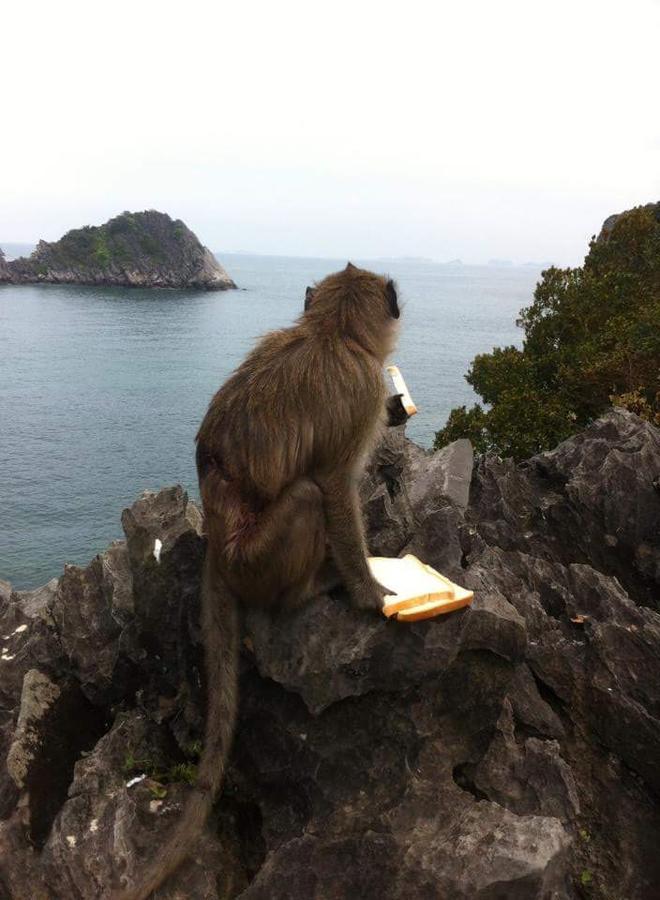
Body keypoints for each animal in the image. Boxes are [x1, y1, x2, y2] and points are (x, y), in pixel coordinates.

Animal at [113, 262, 402, 900]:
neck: (333, 333)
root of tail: (220, 550)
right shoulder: (365, 393)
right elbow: (334, 485)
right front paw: (370, 594)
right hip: (260, 560)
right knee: (307, 496)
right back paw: (309, 590)